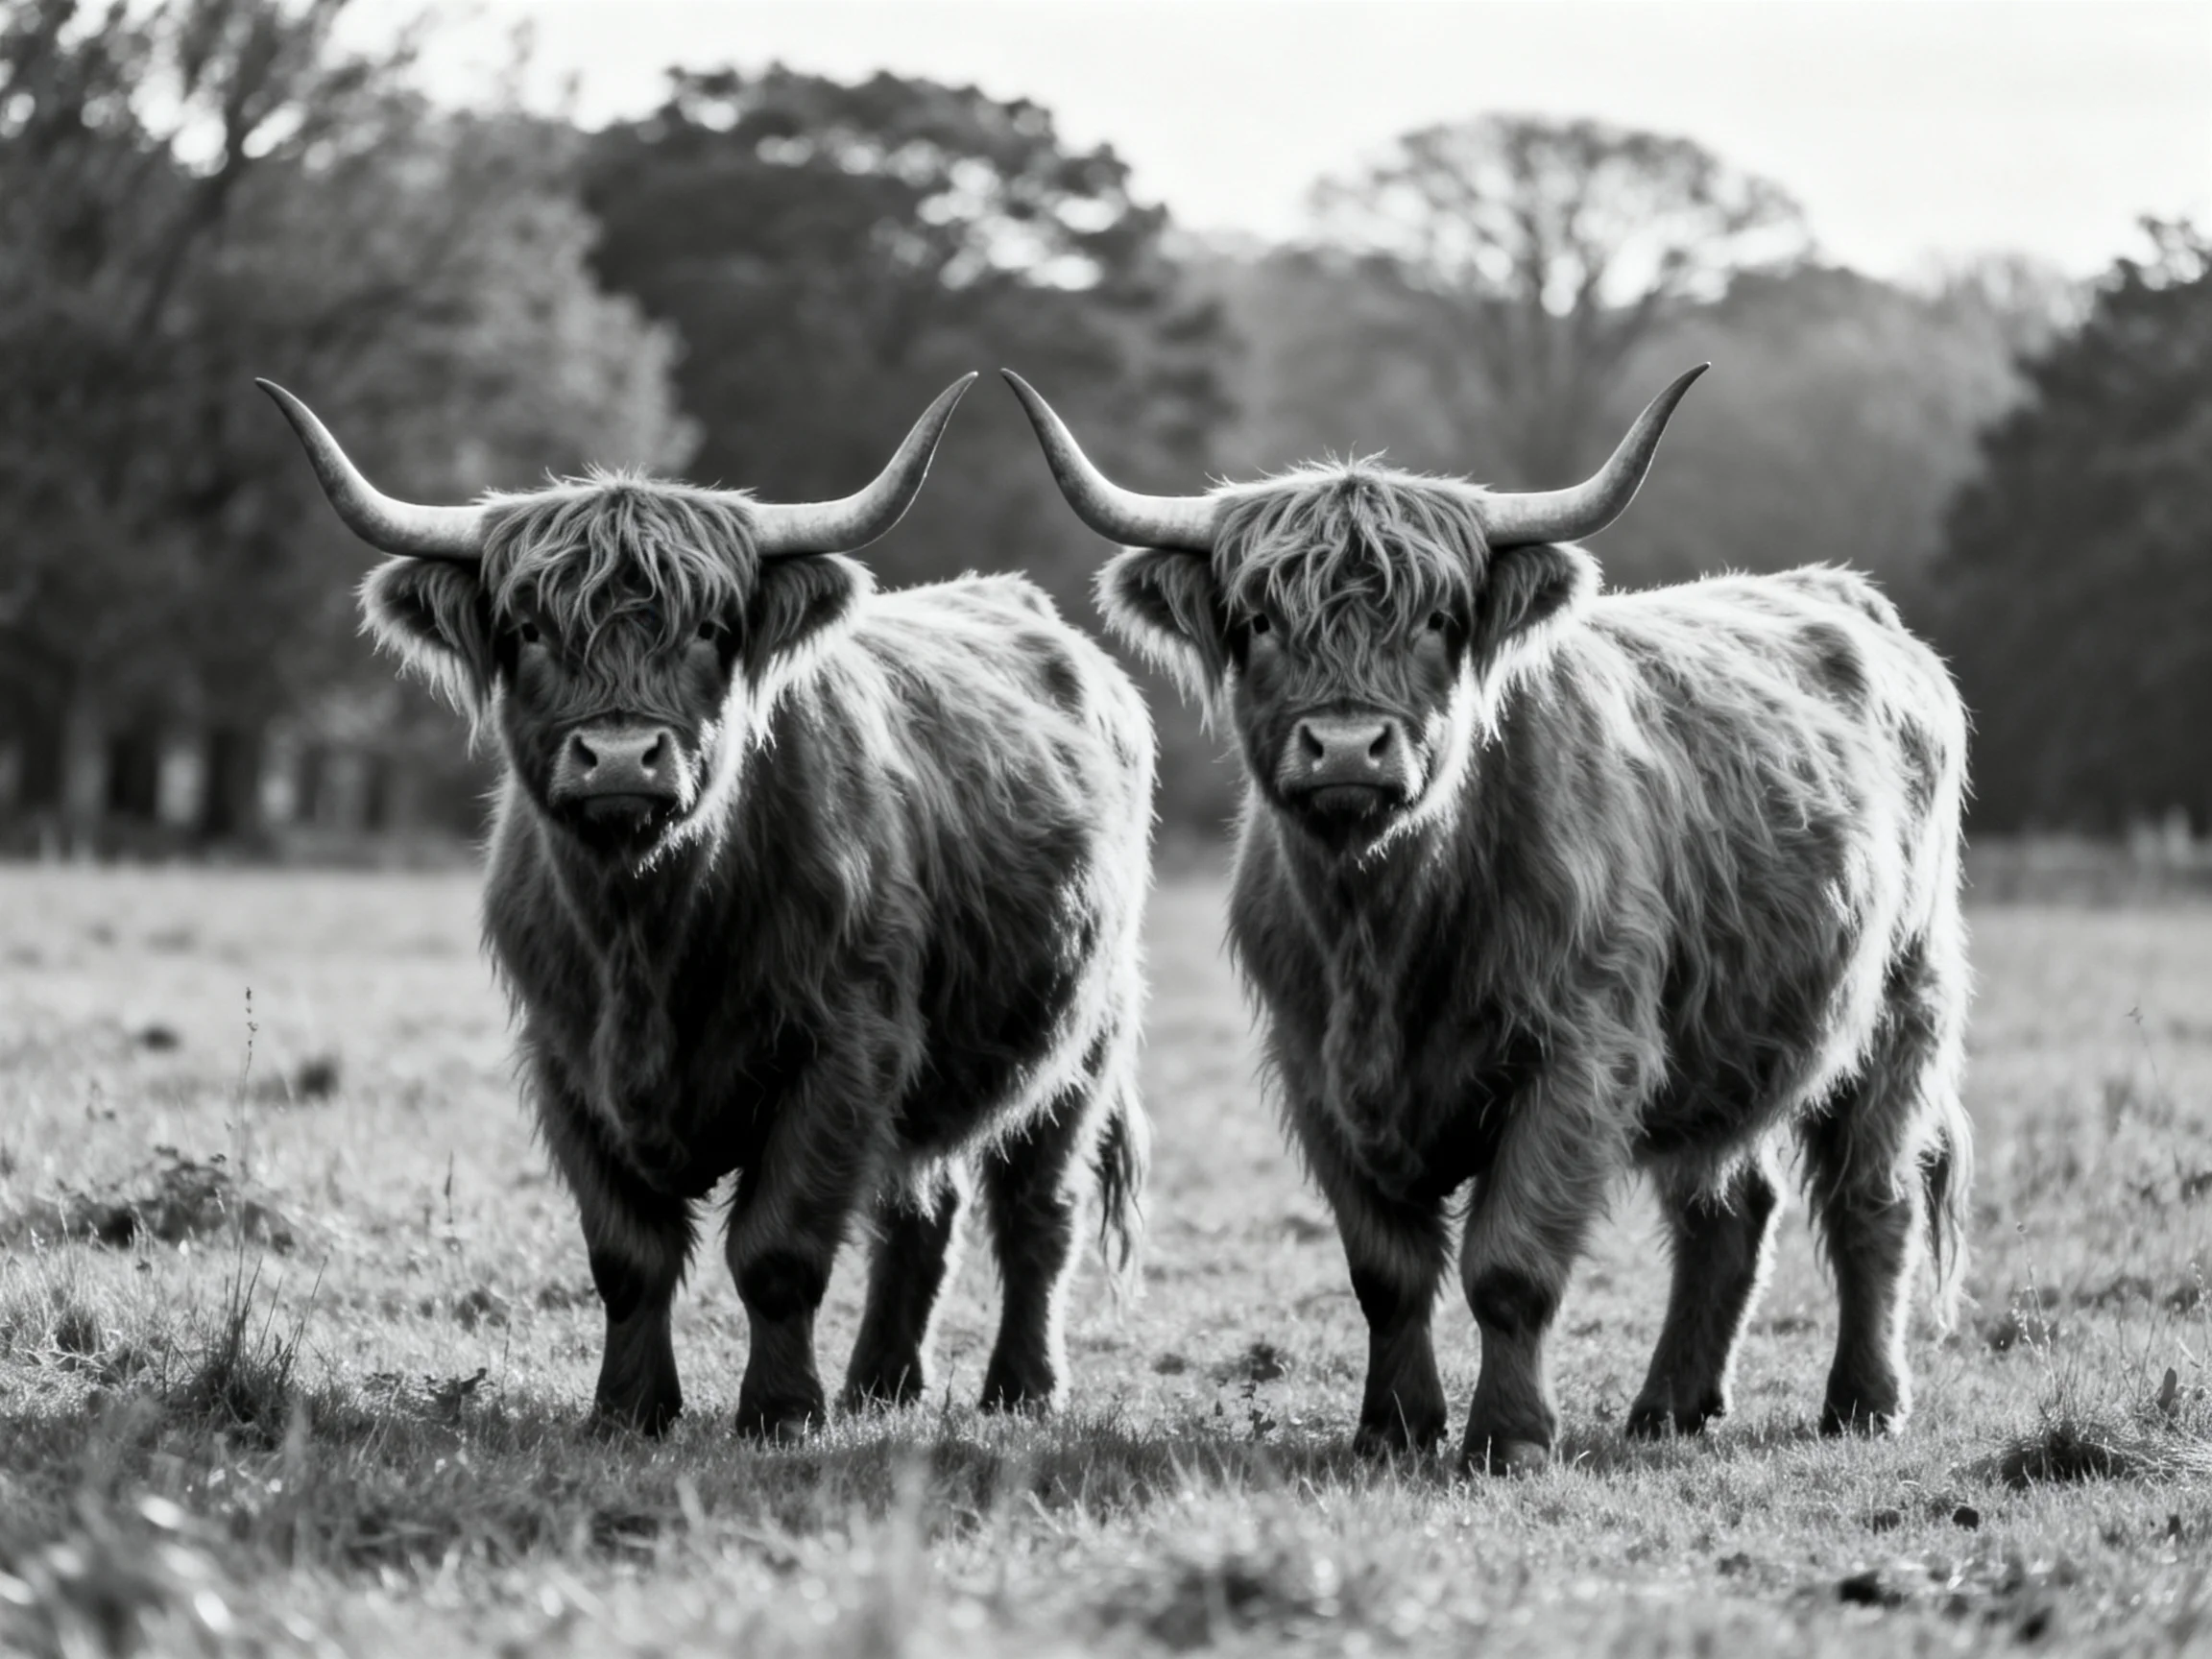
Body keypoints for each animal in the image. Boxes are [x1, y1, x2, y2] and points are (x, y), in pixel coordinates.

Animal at [261, 375, 1154, 1439]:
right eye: (529, 630)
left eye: (708, 630)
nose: (618, 758)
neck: (647, 935)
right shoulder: (566, 1062)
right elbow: (627, 1258)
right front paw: (630, 1408)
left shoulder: (844, 1048)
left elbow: (778, 1252)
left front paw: (781, 1411)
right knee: (919, 1209)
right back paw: (881, 1383)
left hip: (1085, 1036)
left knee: (1034, 1212)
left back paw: (1021, 1389)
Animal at [1005, 364, 1972, 1473]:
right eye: (1258, 622)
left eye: (1436, 620)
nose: (1348, 748)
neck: (1386, 931)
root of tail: (1841, 593)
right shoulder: (1314, 1071)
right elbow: (1385, 1273)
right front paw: (1394, 1429)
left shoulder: (1581, 1054)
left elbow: (1508, 1267)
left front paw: (1507, 1438)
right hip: (1721, 1042)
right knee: (1729, 1208)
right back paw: (1671, 1405)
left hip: (1905, 996)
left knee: (1873, 1197)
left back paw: (1865, 1400)